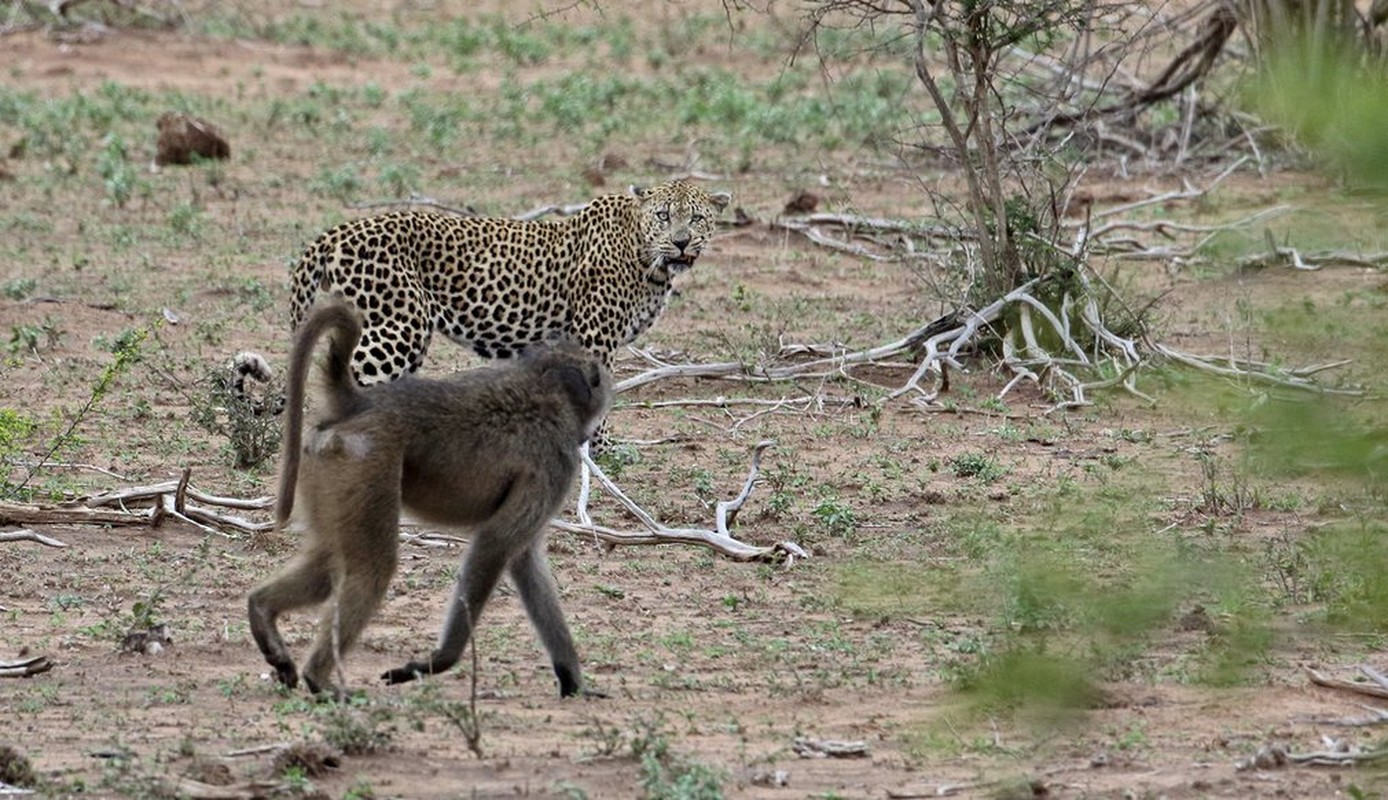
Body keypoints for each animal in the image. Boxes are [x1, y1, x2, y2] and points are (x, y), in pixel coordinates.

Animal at [235, 177, 738, 444]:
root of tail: (333, 233)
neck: (647, 257)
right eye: (663, 216)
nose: (681, 242)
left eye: (696, 218)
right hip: (398, 326)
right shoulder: (596, 338)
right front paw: (602, 448)